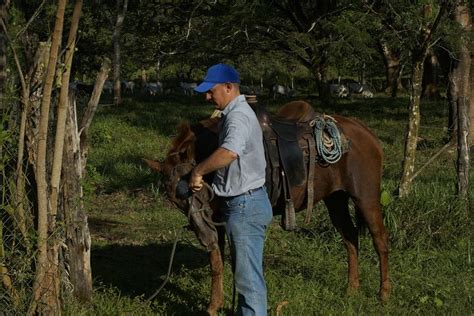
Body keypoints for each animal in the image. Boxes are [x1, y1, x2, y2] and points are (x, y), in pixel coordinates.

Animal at [146, 100, 390, 314]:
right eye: (175, 201)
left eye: (196, 189)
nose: (203, 235)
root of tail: (366, 132)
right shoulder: (218, 221)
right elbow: (218, 262)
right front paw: (214, 306)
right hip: (336, 200)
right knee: (350, 239)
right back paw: (352, 289)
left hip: (366, 198)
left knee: (380, 240)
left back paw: (384, 294)